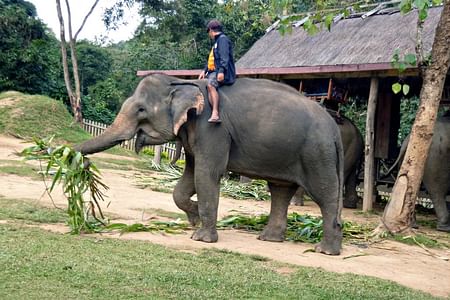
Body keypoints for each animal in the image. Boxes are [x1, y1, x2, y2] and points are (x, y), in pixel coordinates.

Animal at [77, 74, 344, 254]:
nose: (85, 164)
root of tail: (334, 129)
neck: (181, 83)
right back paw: (268, 239)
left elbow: (206, 175)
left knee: (324, 194)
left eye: (141, 109)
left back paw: (325, 250)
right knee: (280, 191)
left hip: (317, 153)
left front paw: (201, 237)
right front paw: (194, 217)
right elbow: (187, 180)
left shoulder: (212, 129)